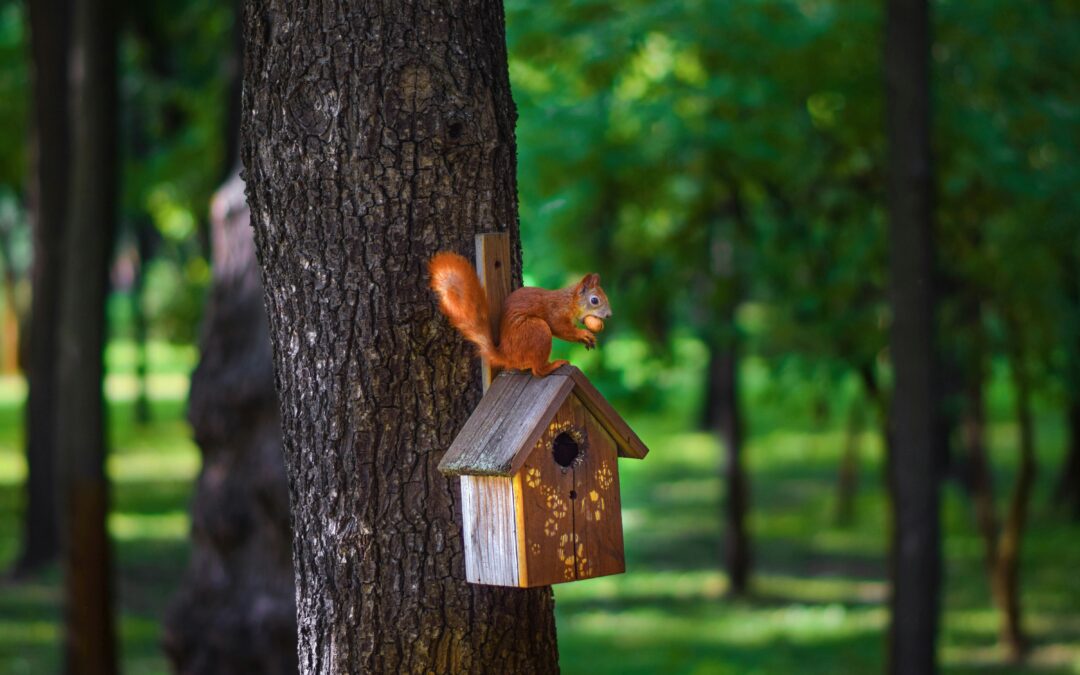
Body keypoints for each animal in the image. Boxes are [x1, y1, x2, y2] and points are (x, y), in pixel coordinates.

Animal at [428, 251, 612, 377]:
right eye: (594, 300)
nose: (609, 315)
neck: (569, 301)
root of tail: (506, 355)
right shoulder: (556, 312)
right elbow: (561, 328)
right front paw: (583, 334)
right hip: (537, 331)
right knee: (537, 371)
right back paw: (553, 365)